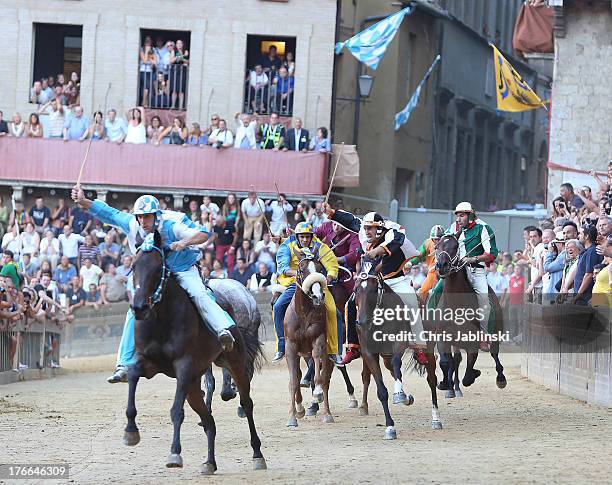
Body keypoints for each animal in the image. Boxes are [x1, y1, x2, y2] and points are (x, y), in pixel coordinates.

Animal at [125, 233, 266, 474]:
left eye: (158, 268)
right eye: (133, 266)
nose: (139, 307)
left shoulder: (186, 364)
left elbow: (179, 408)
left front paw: (174, 452)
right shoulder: (152, 363)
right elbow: (135, 374)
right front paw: (131, 430)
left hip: (235, 360)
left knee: (246, 400)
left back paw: (257, 452)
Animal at [284, 248, 332, 426]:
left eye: (320, 269)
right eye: (301, 270)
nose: (318, 296)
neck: (303, 314)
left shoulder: (319, 339)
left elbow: (319, 373)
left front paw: (317, 392)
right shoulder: (290, 346)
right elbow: (293, 380)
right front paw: (292, 417)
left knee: (325, 378)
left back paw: (327, 413)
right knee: (298, 375)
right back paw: (299, 409)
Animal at [354, 258, 440, 438]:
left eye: (374, 289)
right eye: (356, 289)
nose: (362, 322)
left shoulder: (398, 343)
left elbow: (396, 363)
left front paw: (400, 395)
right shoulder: (369, 354)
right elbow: (381, 390)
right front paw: (390, 427)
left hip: (428, 350)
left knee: (431, 379)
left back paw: (436, 418)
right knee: (394, 372)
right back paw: (407, 397)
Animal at [436, 233, 506, 398]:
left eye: (456, 246)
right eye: (437, 246)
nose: (442, 265)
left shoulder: (473, 341)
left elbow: (468, 375)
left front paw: (475, 373)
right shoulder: (443, 337)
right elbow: (445, 362)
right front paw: (444, 384)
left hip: (496, 332)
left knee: (494, 353)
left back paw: (501, 378)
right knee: (455, 360)